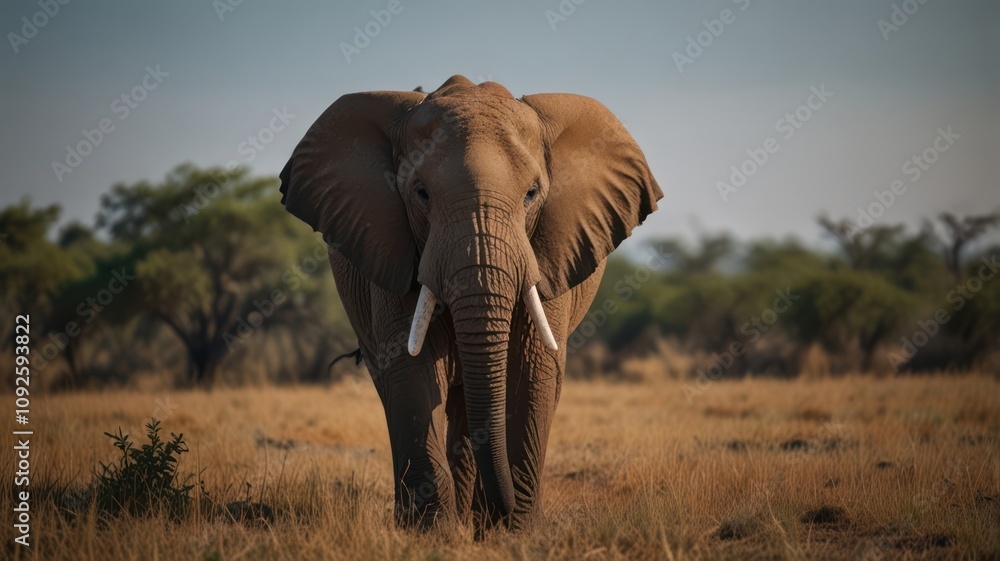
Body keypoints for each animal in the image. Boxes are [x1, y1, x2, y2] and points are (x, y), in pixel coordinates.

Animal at [278, 75, 662, 531]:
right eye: (421, 193)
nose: (503, 509)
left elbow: (532, 366)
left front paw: (512, 531)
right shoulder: (393, 245)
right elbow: (411, 367)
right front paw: (432, 532)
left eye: (532, 193)